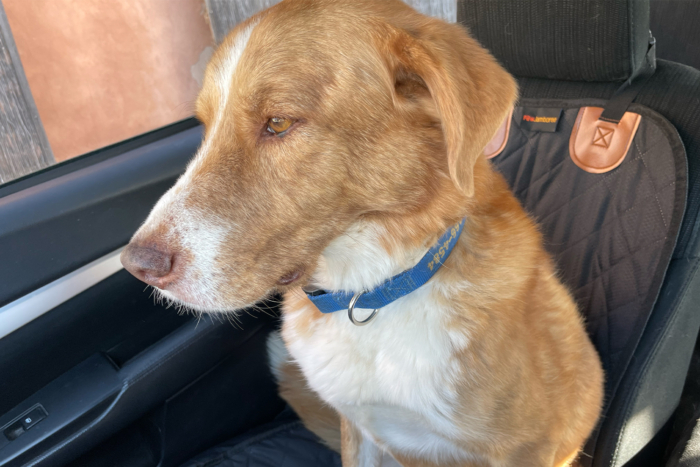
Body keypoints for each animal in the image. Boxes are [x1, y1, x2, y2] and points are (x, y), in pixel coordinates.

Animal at [120, 1, 600, 466]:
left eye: (278, 122)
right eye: (204, 126)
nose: (137, 266)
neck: (372, 292)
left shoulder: (527, 449)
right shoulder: (360, 427)